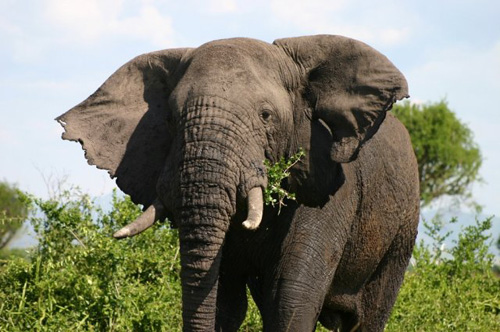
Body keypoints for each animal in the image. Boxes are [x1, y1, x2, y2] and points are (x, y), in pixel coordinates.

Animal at [56, 35, 420, 330]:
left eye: (266, 116)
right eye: (171, 120)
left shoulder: (331, 186)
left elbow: (291, 296)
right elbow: (224, 299)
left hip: (402, 229)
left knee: (369, 314)